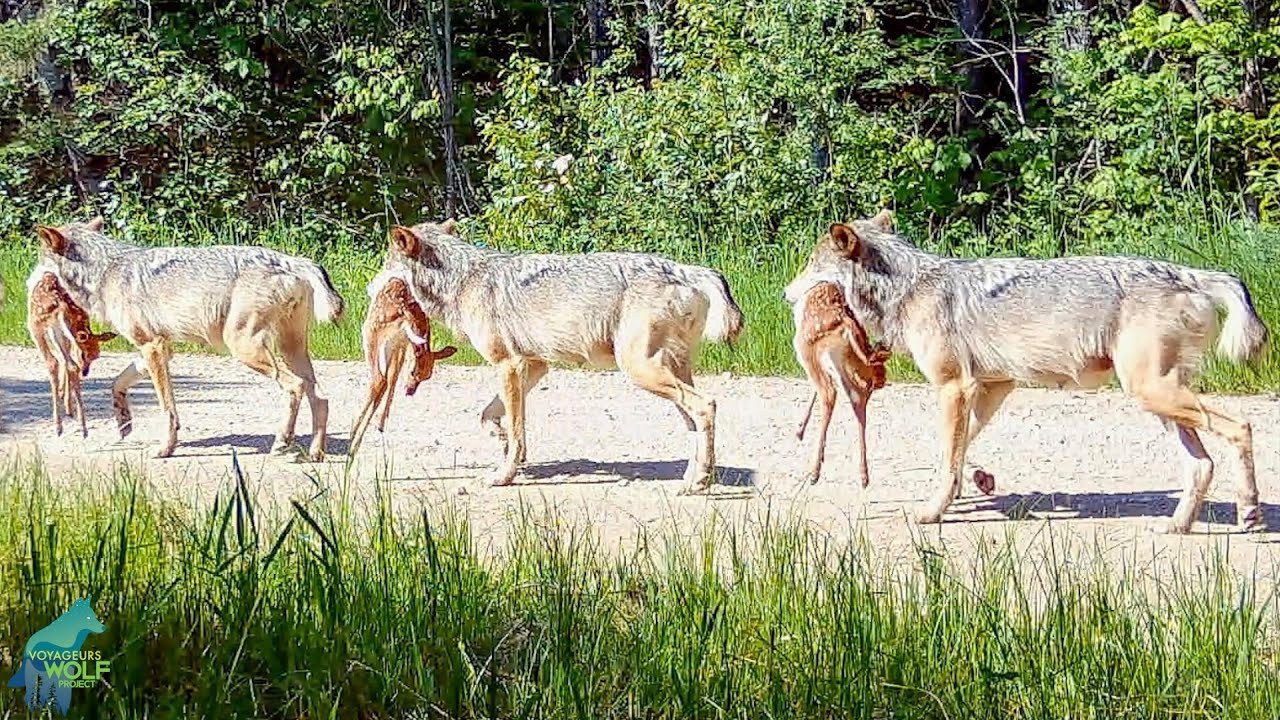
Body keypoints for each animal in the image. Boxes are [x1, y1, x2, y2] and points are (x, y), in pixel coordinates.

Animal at [27, 270, 118, 437]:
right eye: (87, 355)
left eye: (95, 357)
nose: (86, 372)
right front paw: (66, 401)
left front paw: (64, 398)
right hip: (59, 332)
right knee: (71, 365)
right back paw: (83, 427)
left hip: (38, 328)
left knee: (53, 363)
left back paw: (58, 426)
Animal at [349, 272, 457, 457]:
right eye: (415, 373)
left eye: (425, 378)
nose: (410, 391)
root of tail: (405, 314)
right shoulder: (401, 345)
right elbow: (394, 377)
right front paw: (380, 423)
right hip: (394, 341)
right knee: (387, 380)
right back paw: (370, 432)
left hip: (371, 331)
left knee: (378, 380)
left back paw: (353, 433)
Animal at [382, 220, 744, 493]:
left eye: (385, 265)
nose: (372, 287)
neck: (463, 277)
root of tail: (690, 270)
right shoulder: (534, 366)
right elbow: (491, 416)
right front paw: (499, 437)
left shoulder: (508, 365)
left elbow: (517, 432)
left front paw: (503, 476)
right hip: (668, 375)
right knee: (695, 421)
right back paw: (694, 479)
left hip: (641, 371)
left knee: (707, 405)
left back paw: (698, 481)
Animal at [792, 281, 891, 488]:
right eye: (875, 380)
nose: (880, 381)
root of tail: (845, 322)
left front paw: (800, 431)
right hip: (840, 364)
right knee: (856, 403)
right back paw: (864, 476)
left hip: (806, 348)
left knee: (829, 394)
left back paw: (814, 473)